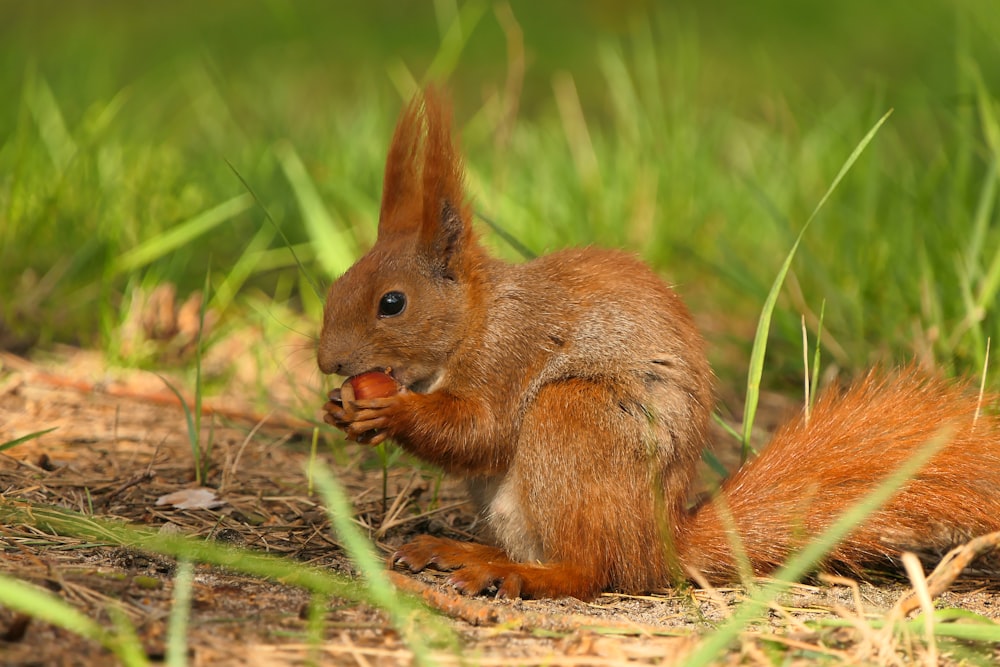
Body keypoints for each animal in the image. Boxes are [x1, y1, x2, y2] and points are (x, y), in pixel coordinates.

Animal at [316, 87, 1000, 600]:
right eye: (339, 283)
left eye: (392, 303)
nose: (328, 362)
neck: (477, 319)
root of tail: (661, 544)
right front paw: (338, 411)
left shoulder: (509, 355)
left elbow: (480, 433)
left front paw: (391, 411)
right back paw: (458, 549)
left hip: (577, 419)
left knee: (592, 571)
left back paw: (511, 571)